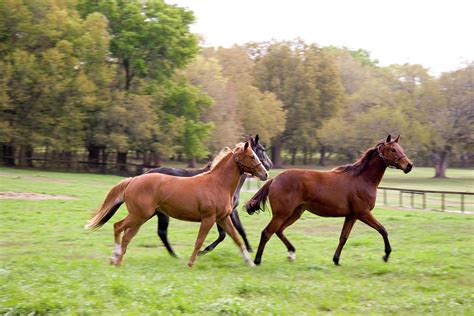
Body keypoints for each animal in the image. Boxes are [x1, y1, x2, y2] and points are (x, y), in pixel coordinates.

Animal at [85, 142, 268, 268]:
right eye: (252, 156)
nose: (265, 173)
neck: (217, 184)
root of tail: (133, 180)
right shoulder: (209, 218)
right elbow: (199, 241)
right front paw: (191, 262)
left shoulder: (223, 218)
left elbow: (237, 238)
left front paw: (250, 262)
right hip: (139, 215)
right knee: (118, 227)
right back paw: (115, 257)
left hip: (141, 217)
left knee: (127, 236)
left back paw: (117, 260)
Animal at [246, 135, 412, 266]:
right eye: (393, 150)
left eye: (400, 148)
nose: (409, 166)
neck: (362, 179)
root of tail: (274, 179)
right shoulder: (363, 213)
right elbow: (383, 230)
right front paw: (386, 255)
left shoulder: (351, 216)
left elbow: (343, 237)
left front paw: (336, 259)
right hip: (282, 214)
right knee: (267, 233)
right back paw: (257, 260)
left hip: (295, 213)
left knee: (279, 230)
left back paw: (291, 253)